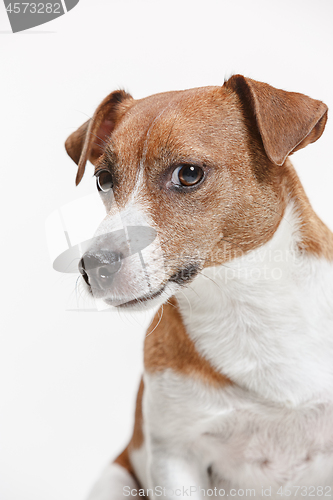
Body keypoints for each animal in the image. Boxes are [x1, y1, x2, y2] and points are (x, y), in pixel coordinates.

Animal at [65, 75, 332, 500]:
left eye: (188, 174)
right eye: (103, 179)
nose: (93, 266)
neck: (245, 305)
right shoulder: (176, 456)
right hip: (115, 480)